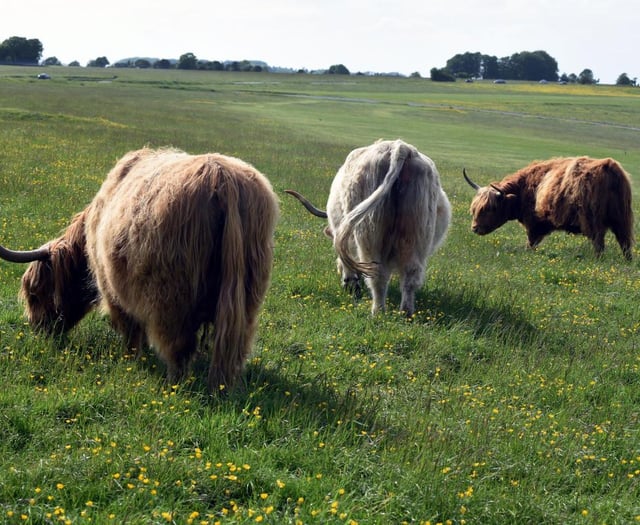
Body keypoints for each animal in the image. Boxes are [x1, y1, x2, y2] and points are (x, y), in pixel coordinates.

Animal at [0, 148, 279, 392]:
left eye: (35, 293)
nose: (37, 328)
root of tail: (222, 178)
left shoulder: (113, 290)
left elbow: (131, 330)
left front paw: (131, 360)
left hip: (172, 301)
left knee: (178, 347)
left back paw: (174, 386)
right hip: (246, 299)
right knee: (235, 346)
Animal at [286, 139, 451, 316]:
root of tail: (400, 148)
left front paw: (350, 285)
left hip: (369, 232)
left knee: (377, 275)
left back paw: (377, 312)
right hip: (416, 235)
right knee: (410, 275)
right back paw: (405, 313)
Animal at [463, 156, 634, 259]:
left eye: (490, 208)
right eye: (474, 209)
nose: (474, 228)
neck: (524, 188)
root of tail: (609, 166)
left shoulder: (534, 224)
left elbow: (531, 243)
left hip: (594, 222)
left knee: (599, 244)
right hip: (623, 221)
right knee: (625, 244)